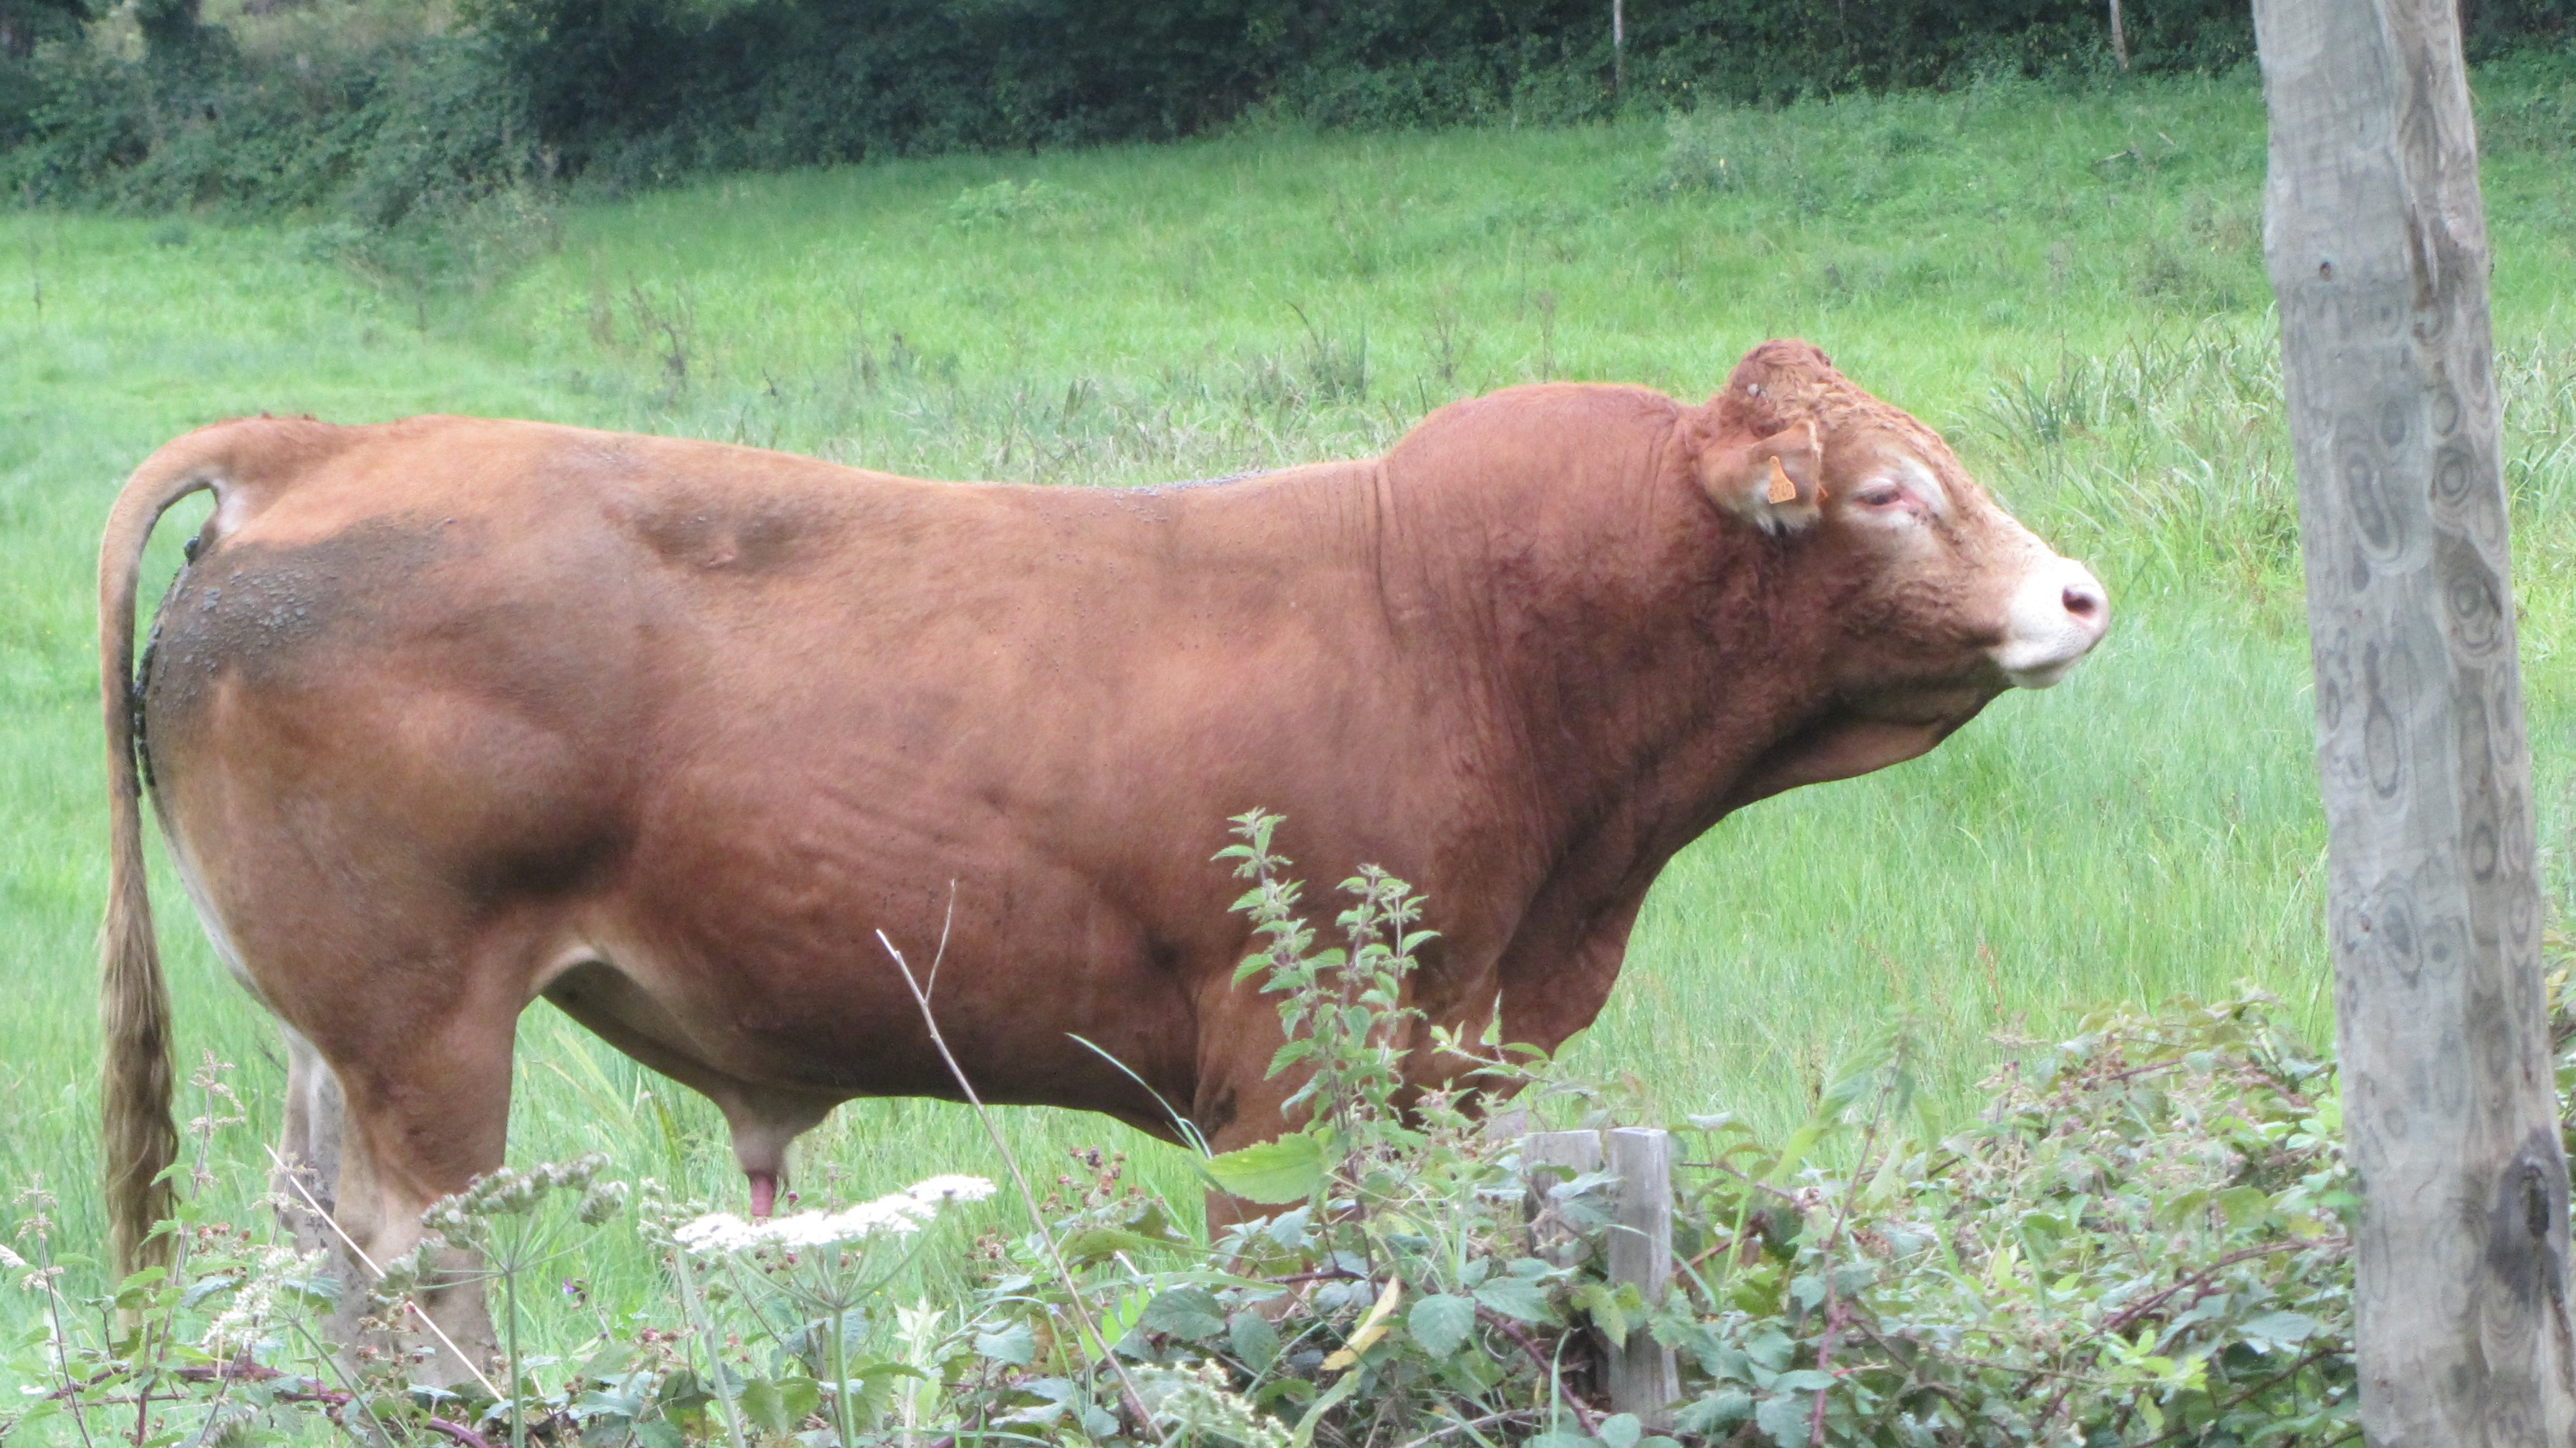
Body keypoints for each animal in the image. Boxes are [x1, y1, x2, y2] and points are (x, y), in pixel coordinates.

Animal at [97, 340, 2105, 1373]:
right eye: (1884, 493)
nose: (2077, 592)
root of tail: (327, 447)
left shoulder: (1436, 1057)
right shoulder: (1281, 1073)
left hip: (341, 1040)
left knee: (317, 1243)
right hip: (427, 1027)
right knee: (413, 1263)